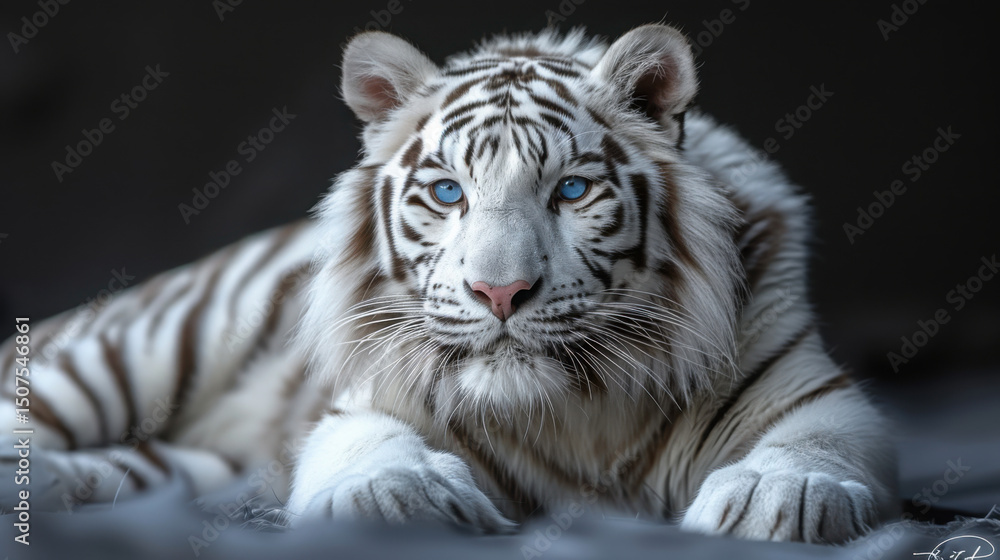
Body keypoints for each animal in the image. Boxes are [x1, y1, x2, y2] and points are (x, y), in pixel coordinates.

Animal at [0, 24, 896, 543]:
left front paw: (777, 500)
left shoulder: (815, 392)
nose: (500, 294)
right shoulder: (362, 402)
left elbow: (814, 448)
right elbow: (373, 447)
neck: (584, 406)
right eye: (446, 192)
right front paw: (400, 497)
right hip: (135, 348)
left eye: (572, 190)